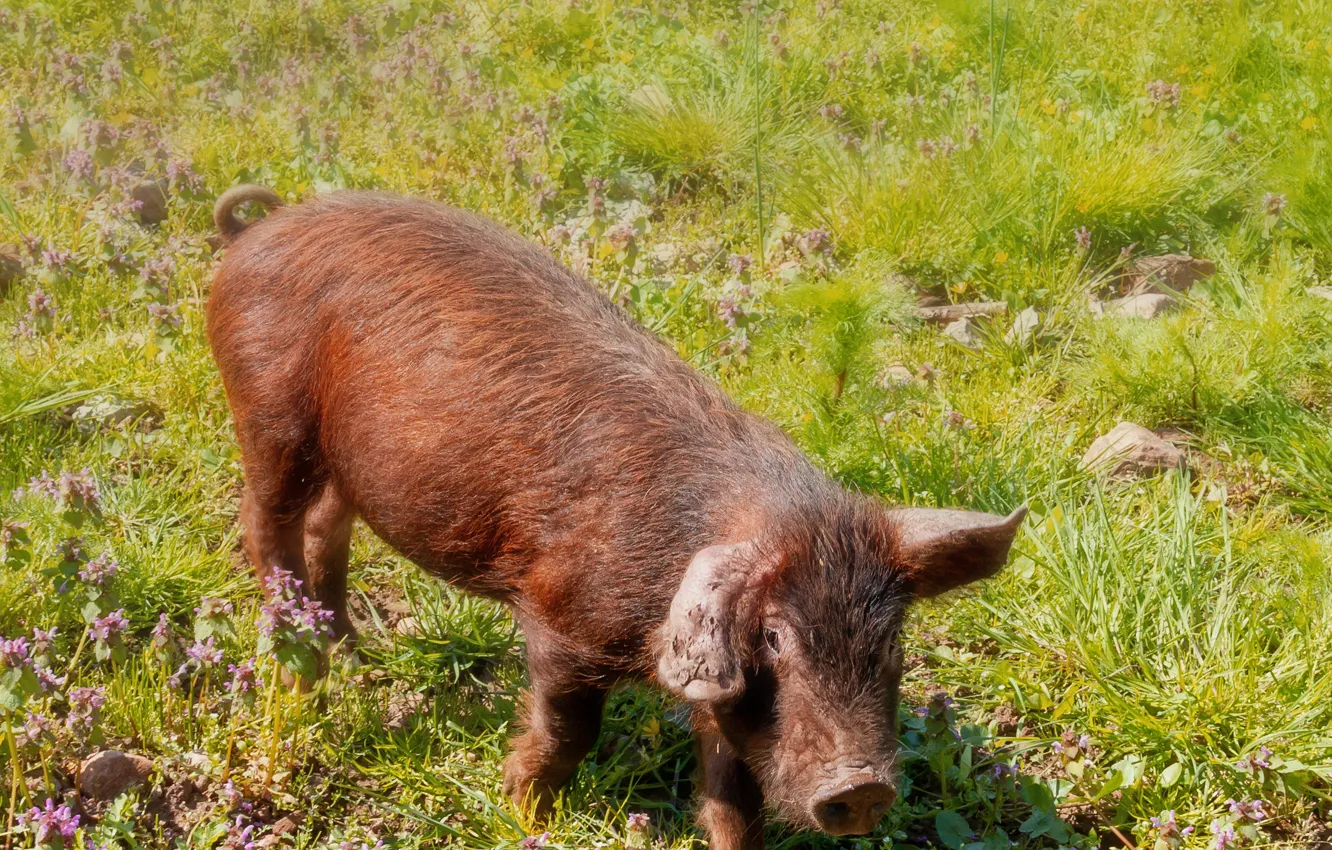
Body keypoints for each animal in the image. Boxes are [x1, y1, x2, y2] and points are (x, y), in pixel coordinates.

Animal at [206, 185, 1026, 849]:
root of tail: (257, 229)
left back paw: (355, 657)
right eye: (775, 637)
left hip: (348, 459)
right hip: (269, 410)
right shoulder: (563, 624)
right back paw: (305, 668)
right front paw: (524, 815)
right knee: (264, 521)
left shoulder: (713, 685)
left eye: (891, 642)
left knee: (328, 525)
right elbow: (568, 733)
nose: (862, 786)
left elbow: (733, 801)